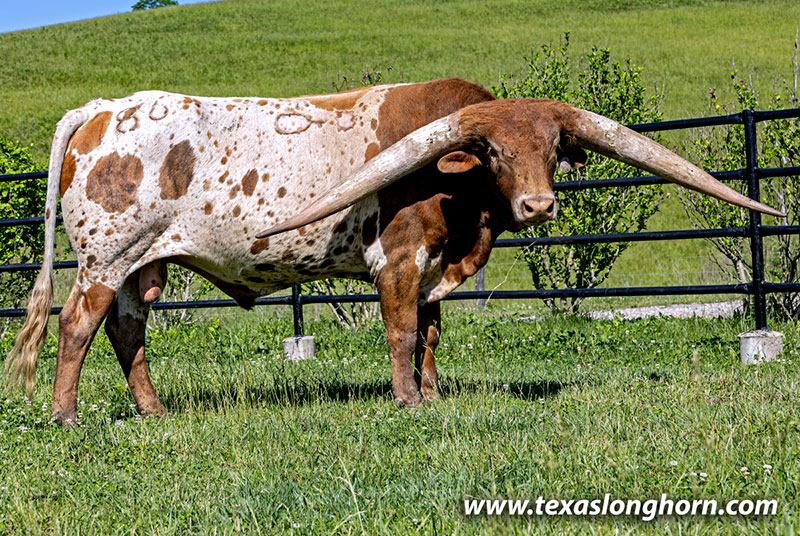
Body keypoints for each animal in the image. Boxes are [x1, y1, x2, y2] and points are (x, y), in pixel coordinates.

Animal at [5, 79, 782, 425]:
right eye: (494, 152)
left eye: (552, 148)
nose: (538, 206)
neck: (461, 205)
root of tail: (102, 109)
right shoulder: (401, 263)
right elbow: (403, 331)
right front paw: (408, 400)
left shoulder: (438, 267)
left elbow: (433, 334)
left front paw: (434, 394)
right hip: (105, 258)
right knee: (78, 325)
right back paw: (66, 414)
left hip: (143, 265)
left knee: (127, 329)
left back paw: (155, 412)